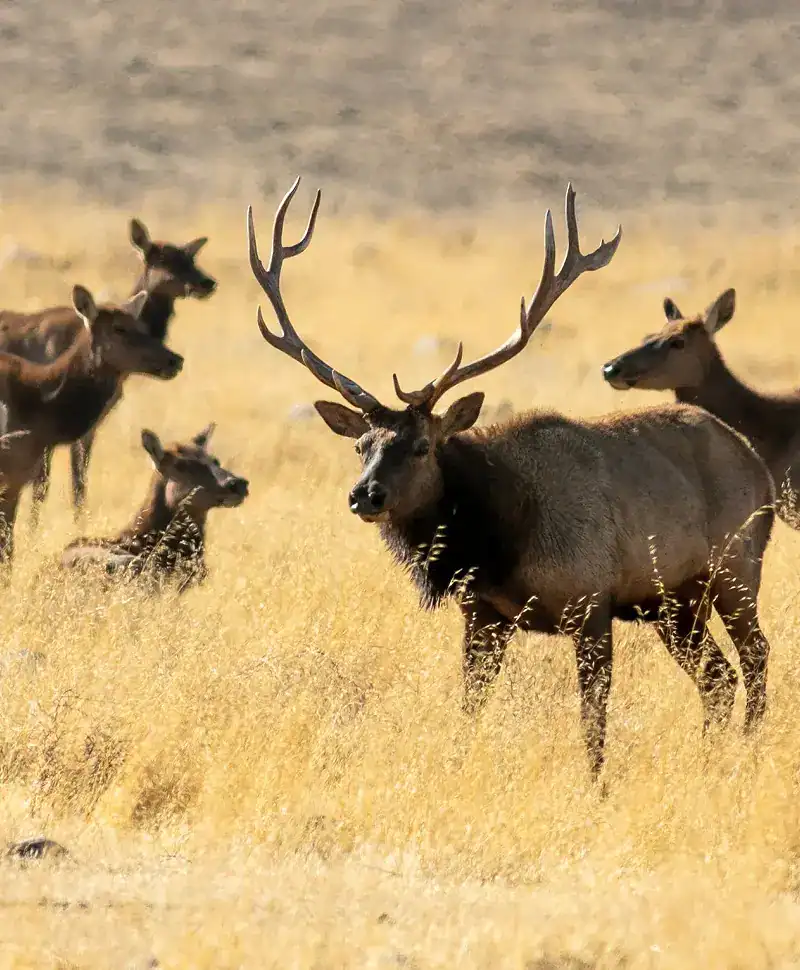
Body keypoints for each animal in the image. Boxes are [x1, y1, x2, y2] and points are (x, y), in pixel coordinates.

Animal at [247, 178, 776, 778]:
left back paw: (747, 752)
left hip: (736, 569)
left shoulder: (590, 602)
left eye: (423, 447)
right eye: (362, 446)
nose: (366, 495)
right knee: (719, 679)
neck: (499, 541)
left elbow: (593, 723)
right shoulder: (482, 615)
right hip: (676, 602)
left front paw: (595, 787)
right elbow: (469, 708)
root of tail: (757, 464)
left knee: (755, 658)